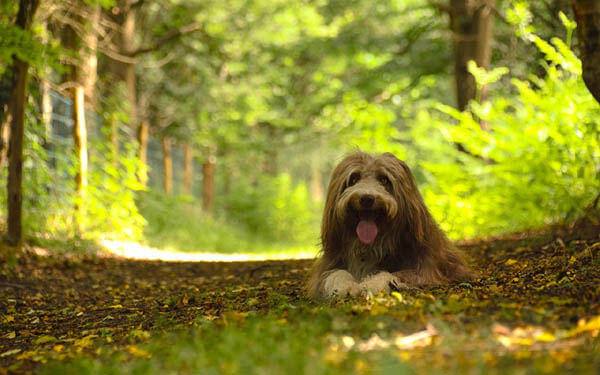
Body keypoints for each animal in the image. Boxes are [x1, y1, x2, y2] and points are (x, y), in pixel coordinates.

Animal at [310, 152, 474, 300]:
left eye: (384, 180)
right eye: (354, 179)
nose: (366, 198)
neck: (370, 246)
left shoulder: (425, 268)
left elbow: (392, 274)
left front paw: (370, 284)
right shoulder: (329, 263)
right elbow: (335, 273)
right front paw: (346, 285)